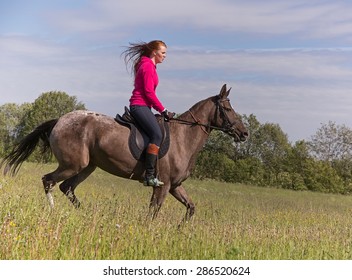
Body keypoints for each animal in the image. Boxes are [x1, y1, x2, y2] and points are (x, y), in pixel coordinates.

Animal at [0, 84, 248, 220]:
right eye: (227, 109)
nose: (244, 133)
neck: (183, 138)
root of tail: (60, 120)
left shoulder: (175, 186)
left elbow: (191, 208)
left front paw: (180, 229)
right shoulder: (163, 186)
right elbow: (152, 213)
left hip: (88, 167)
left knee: (66, 187)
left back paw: (86, 214)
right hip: (73, 165)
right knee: (49, 181)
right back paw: (53, 212)